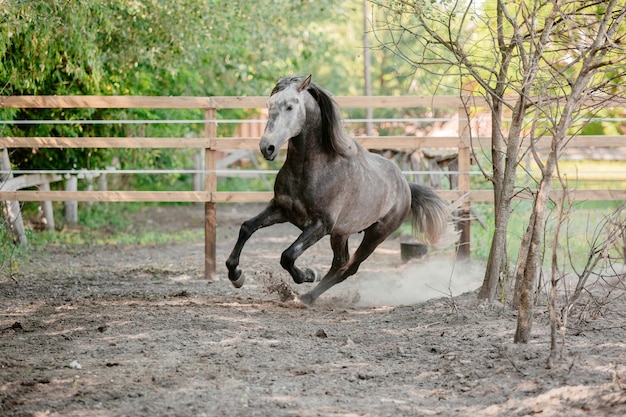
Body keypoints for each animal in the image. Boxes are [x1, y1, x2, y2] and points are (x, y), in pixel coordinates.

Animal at [224, 75, 454, 304]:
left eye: (290, 106)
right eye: (269, 104)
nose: (267, 148)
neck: (312, 170)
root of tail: (405, 185)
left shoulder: (320, 225)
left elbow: (287, 255)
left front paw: (308, 274)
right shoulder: (280, 209)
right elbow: (247, 228)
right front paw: (236, 276)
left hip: (376, 234)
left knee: (349, 268)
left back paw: (307, 296)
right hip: (341, 234)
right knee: (340, 263)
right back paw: (308, 295)